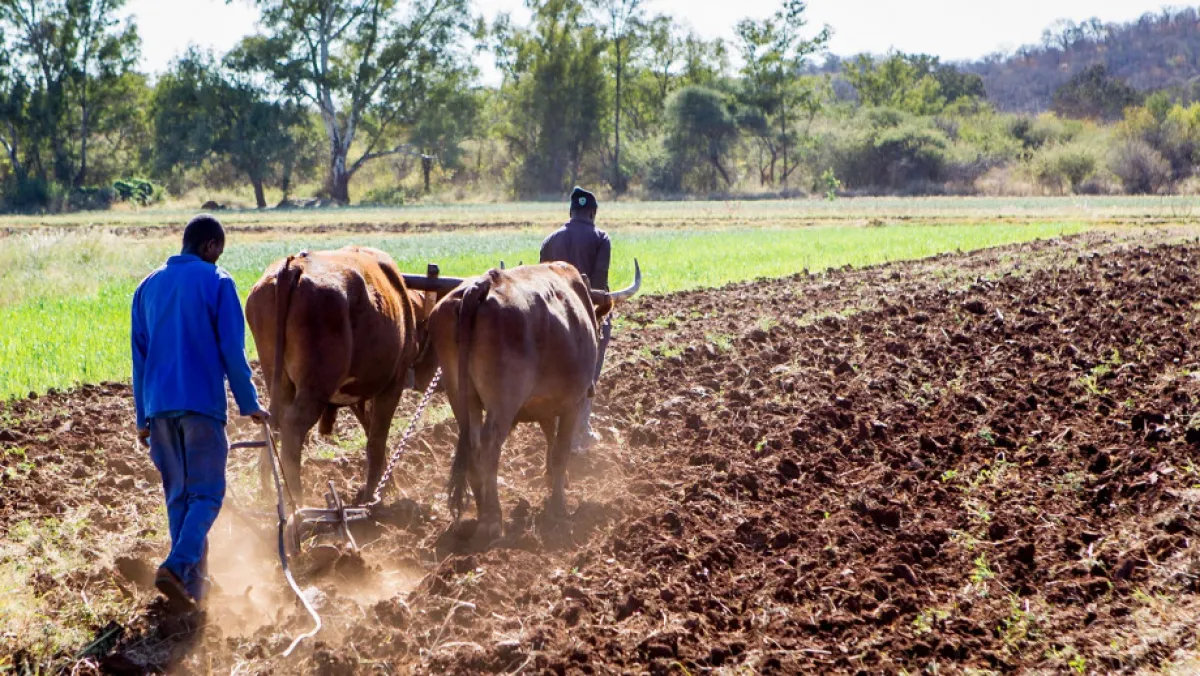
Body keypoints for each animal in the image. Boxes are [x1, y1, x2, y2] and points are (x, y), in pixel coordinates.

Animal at [244, 246, 440, 506]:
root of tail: (294, 266)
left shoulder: (358, 392)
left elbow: (370, 431)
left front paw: (387, 485)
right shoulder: (392, 383)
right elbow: (377, 440)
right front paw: (373, 495)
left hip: (278, 380)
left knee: (272, 422)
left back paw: (268, 494)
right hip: (316, 386)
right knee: (293, 427)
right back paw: (298, 499)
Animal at [407, 261, 640, 544]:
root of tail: (482, 286)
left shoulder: (545, 404)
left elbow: (550, 439)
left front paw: (553, 481)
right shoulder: (572, 402)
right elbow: (560, 451)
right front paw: (559, 506)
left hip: (460, 396)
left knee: (473, 445)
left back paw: (483, 511)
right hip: (503, 402)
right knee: (489, 446)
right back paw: (492, 520)